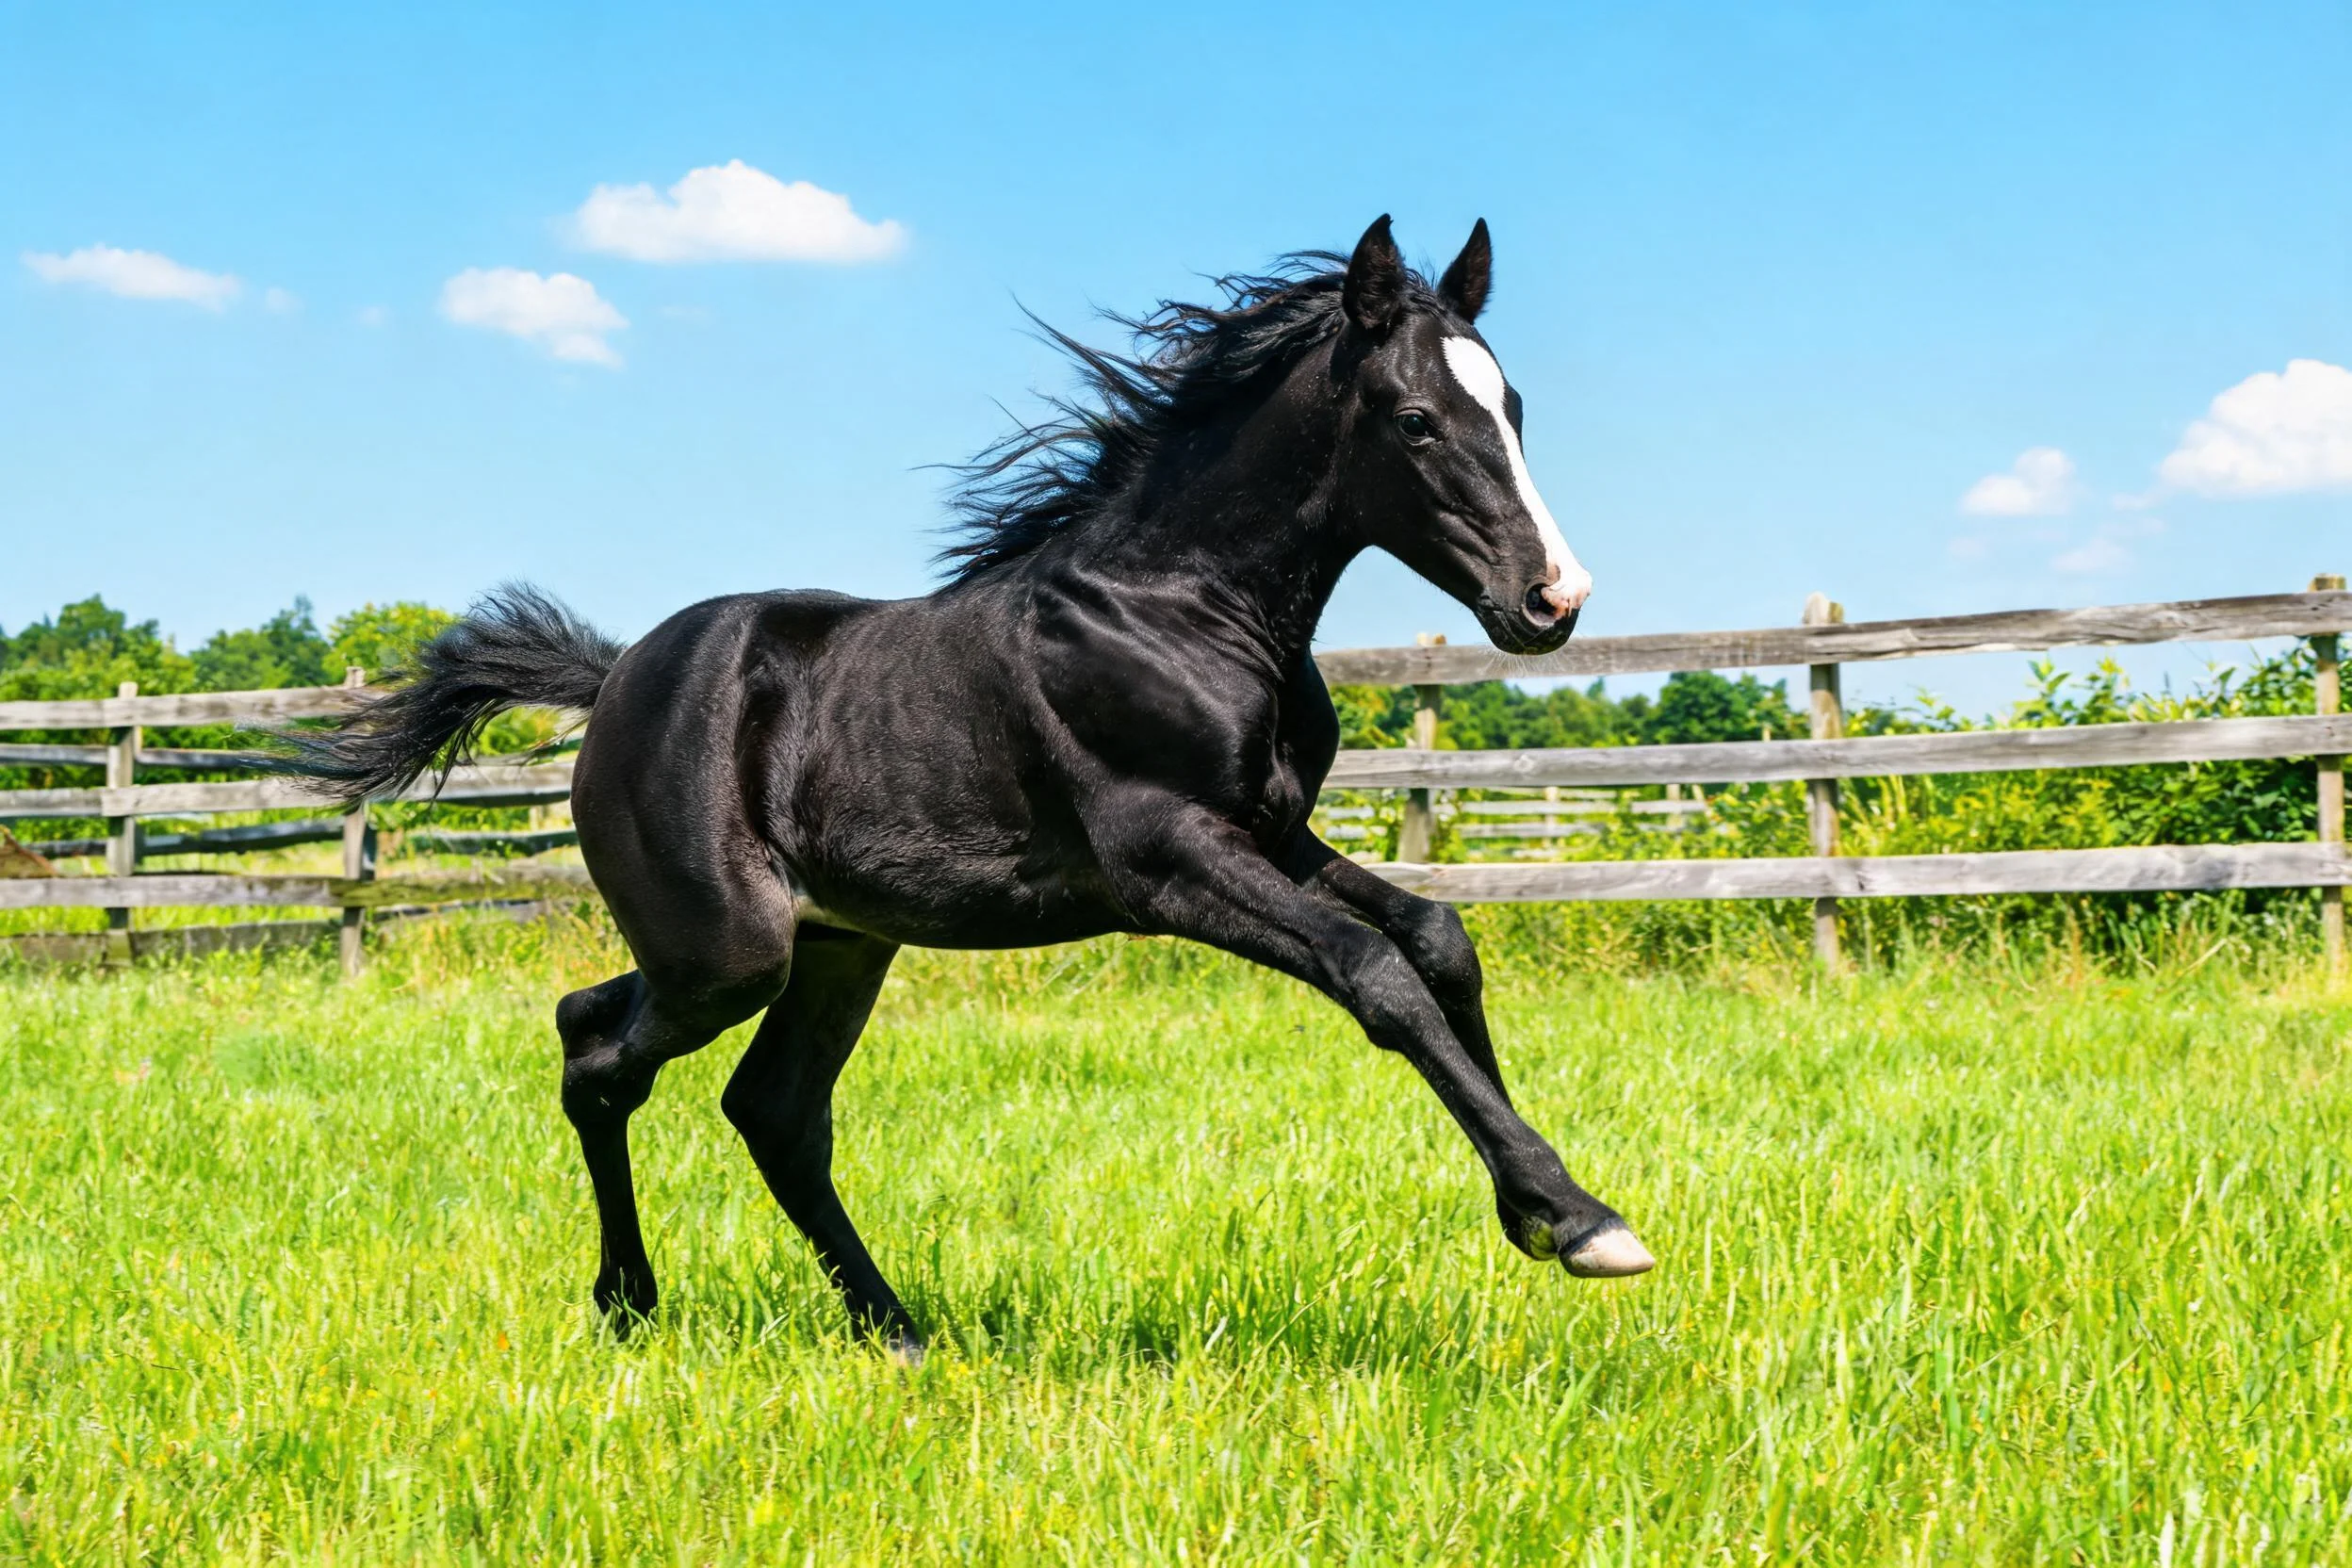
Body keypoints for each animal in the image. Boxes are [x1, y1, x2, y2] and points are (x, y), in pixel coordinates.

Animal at [292, 216, 1652, 1361]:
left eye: (1512, 405)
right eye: (1418, 420)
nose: (1553, 600)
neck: (1174, 607)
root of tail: (615, 674)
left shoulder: (1273, 829)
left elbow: (1438, 936)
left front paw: (1538, 1215)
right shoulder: (1166, 855)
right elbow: (1375, 974)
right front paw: (1584, 1219)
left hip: (833, 944)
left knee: (748, 1097)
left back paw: (892, 1331)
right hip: (728, 950)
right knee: (603, 1057)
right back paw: (631, 1302)